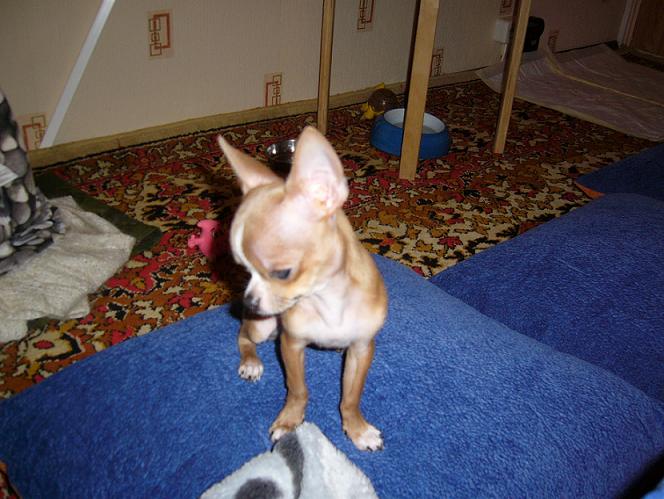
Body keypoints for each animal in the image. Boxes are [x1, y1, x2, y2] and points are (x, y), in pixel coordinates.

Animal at [217, 126, 388, 451]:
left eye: (282, 273)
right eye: (243, 270)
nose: (248, 302)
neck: (327, 298)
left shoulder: (362, 348)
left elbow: (351, 396)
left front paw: (356, 428)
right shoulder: (291, 344)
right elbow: (298, 390)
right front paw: (290, 421)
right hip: (262, 328)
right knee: (243, 335)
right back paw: (251, 362)